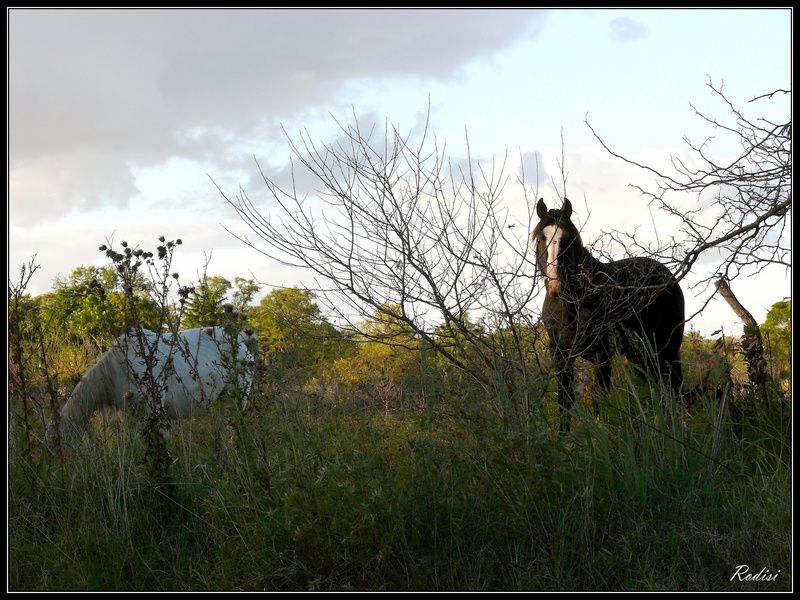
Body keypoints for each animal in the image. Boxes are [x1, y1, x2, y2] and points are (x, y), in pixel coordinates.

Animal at [536, 199, 684, 428]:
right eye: (541, 238)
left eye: (567, 239)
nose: (554, 284)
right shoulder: (560, 354)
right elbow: (564, 401)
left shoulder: (602, 355)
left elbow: (601, 398)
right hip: (641, 354)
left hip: (666, 349)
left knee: (673, 386)